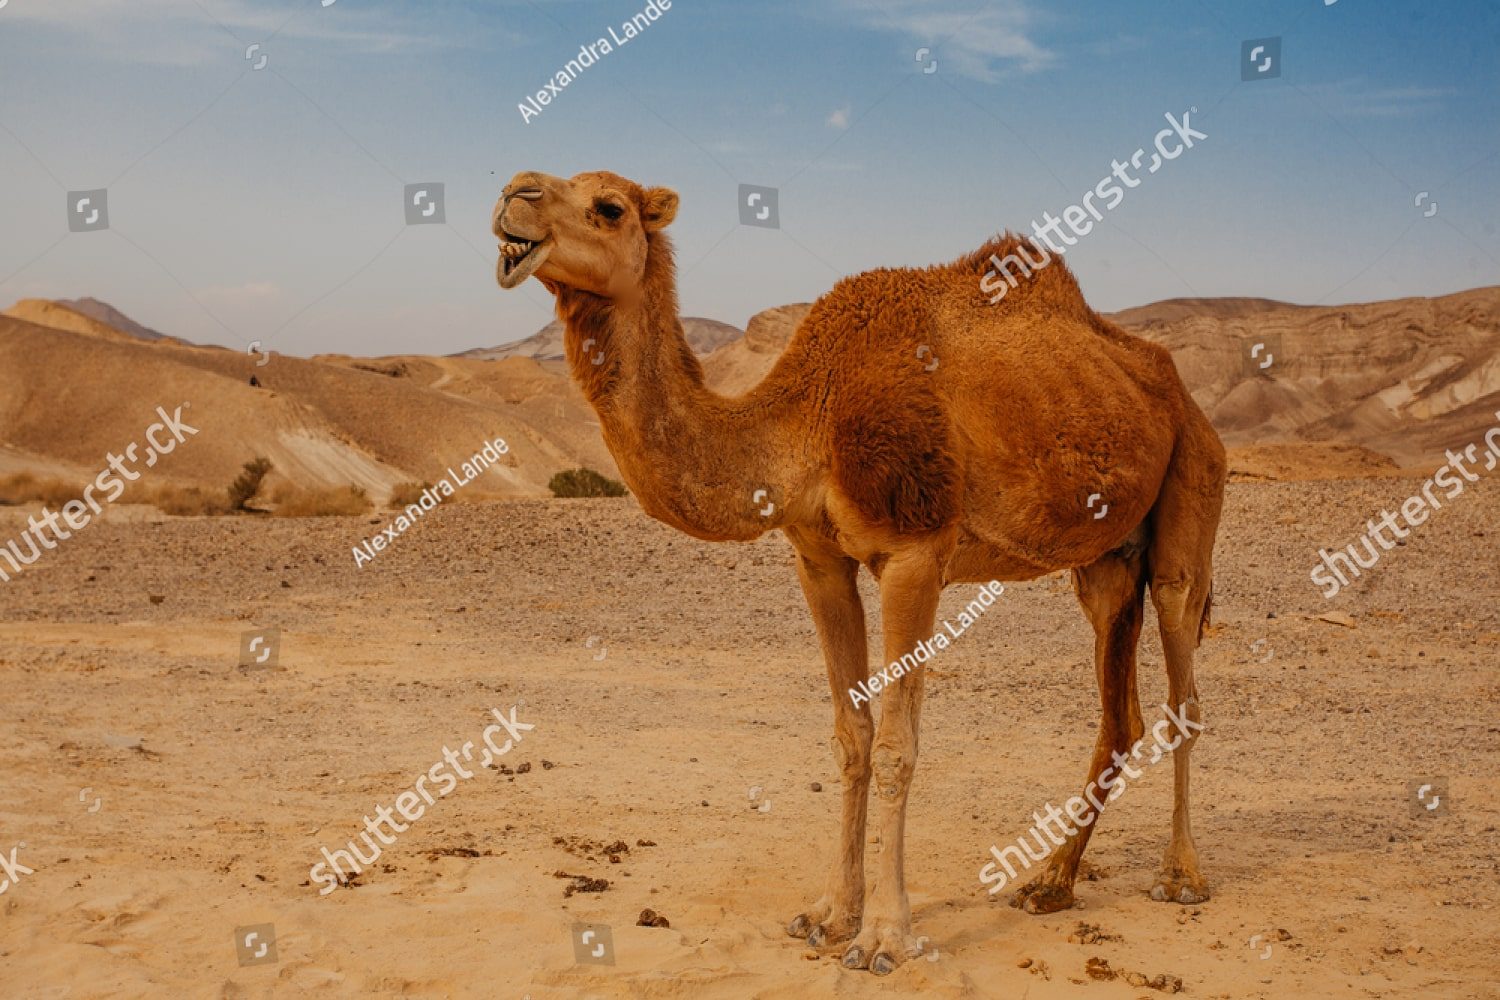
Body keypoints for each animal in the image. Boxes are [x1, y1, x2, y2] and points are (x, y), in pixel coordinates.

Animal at [491, 170, 1227, 975]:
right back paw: (1051, 883)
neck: (806, 418)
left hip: (1191, 488)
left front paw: (883, 936)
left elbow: (899, 744)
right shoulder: (819, 558)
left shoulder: (915, 552)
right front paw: (828, 915)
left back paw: (1181, 876)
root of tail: (1178, 390)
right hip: (1105, 562)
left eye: (610, 207)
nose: (515, 194)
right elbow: (851, 736)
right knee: (1118, 710)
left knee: (1182, 685)